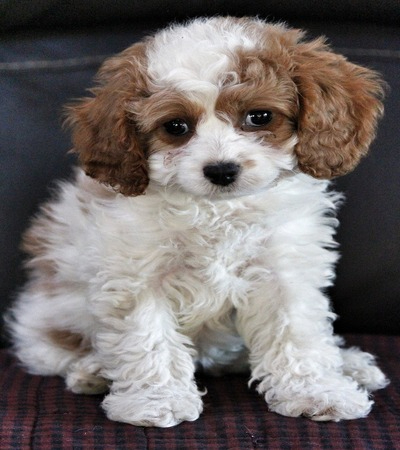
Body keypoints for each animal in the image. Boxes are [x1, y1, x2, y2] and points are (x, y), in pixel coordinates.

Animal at [7, 16, 388, 426]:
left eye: (259, 117)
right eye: (176, 127)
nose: (221, 170)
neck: (216, 210)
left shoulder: (283, 267)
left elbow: (297, 332)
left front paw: (316, 391)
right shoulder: (137, 274)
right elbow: (148, 337)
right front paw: (157, 400)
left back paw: (349, 364)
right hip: (49, 318)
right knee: (55, 352)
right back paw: (93, 371)